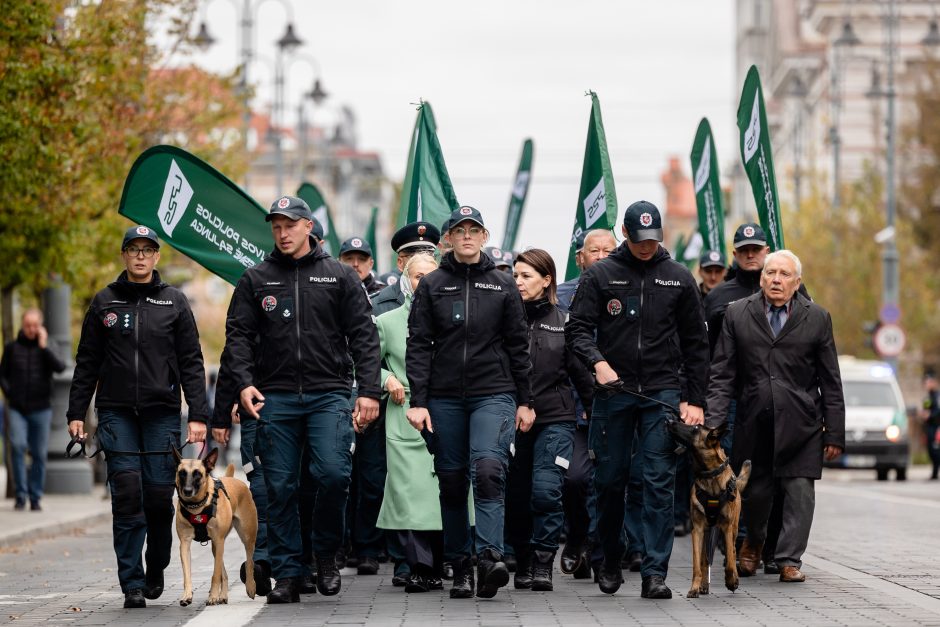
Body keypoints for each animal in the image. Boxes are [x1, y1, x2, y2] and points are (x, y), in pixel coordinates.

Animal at [173, 448, 258, 604]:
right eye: (182, 473)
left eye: (198, 474)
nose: (187, 490)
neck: (198, 506)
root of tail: (232, 478)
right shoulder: (185, 543)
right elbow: (187, 574)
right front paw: (187, 595)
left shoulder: (219, 540)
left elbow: (215, 574)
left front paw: (212, 596)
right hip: (215, 546)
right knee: (224, 573)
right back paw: (223, 595)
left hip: (247, 537)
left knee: (249, 562)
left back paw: (250, 587)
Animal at [664, 420, 752, 600]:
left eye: (695, 428)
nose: (669, 421)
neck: (710, 475)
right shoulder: (697, 529)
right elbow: (697, 564)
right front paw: (695, 587)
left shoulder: (726, 528)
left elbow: (730, 561)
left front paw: (731, 581)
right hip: (706, 532)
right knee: (705, 559)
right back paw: (704, 585)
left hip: (733, 528)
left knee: (733, 550)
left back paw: (734, 577)